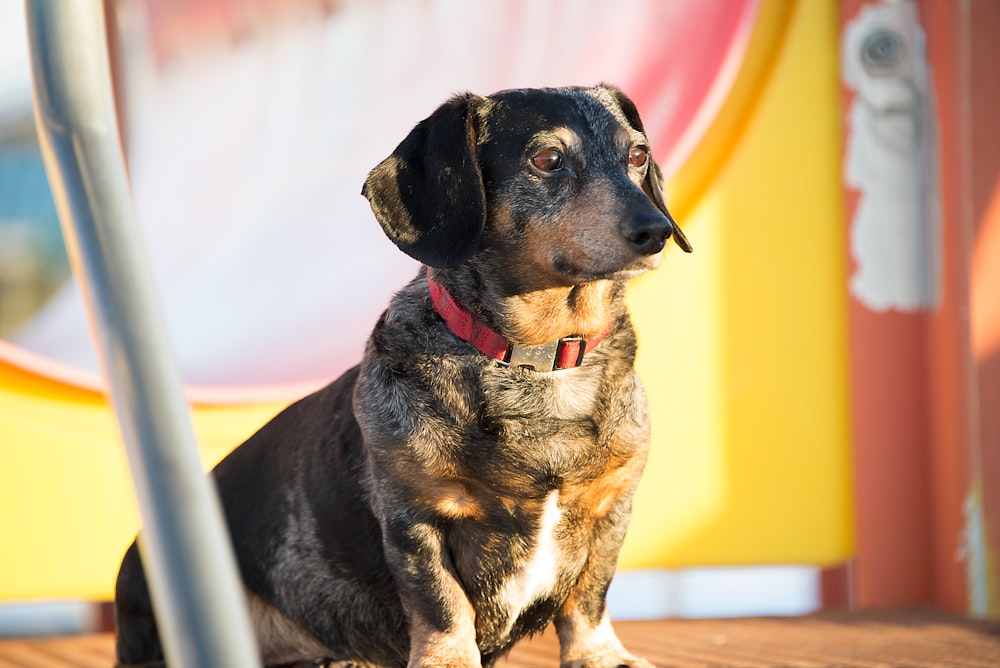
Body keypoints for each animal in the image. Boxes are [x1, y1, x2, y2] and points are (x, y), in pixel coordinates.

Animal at [115, 85, 688, 668]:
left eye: (637, 155)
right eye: (547, 159)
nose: (657, 232)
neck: (537, 362)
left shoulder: (610, 509)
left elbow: (589, 596)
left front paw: (600, 655)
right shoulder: (417, 516)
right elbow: (440, 602)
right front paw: (448, 659)